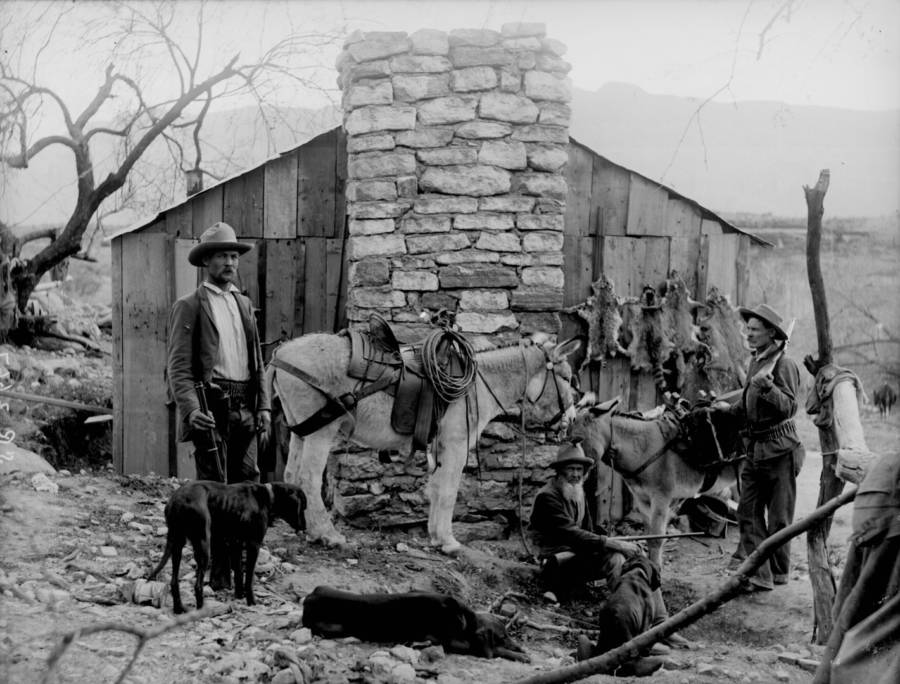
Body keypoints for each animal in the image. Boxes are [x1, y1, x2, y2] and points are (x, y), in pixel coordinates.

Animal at [146, 480, 304, 616]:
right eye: (302, 507)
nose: (304, 527)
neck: (267, 496)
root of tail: (177, 499)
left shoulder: (236, 544)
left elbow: (239, 574)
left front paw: (239, 596)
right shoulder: (253, 545)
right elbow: (249, 578)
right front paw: (251, 601)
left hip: (177, 545)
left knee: (174, 582)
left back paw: (179, 609)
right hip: (203, 546)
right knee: (198, 585)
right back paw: (202, 611)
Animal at [302, 584, 528, 660]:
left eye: (508, 634)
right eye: (502, 636)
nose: (520, 647)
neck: (466, 620)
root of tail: (309, 597)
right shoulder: (456, 643)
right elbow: (493, 650)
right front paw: (521, 656)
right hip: (333, 627)